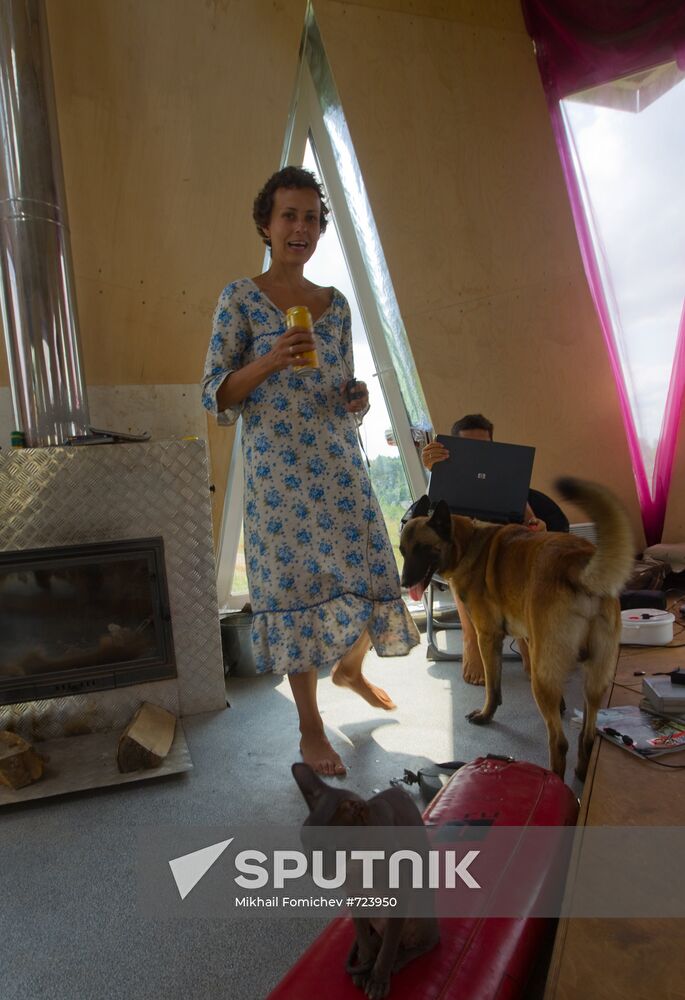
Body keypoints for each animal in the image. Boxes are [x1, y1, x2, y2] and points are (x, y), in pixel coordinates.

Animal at [292, 762, 439, 999]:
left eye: (330, 849)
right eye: (304, 842)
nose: (310, 869)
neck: (357, 867)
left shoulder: (400, 898)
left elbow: (388, 948)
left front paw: (378, 980)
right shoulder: (355, 898)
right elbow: (362, 938)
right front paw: (364, 965)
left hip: (419, 910)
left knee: (426, 941)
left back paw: (398, 961)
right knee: (379, 937)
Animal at [399, 477, 634, 781]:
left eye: (422, 548)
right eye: (403, 551)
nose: (404, 583)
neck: (467, 542)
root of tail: (579, 564)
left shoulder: (488, 637)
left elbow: (493, 686)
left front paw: (486, 714)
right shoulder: (531, 642)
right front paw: (560, 705)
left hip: (544, 682)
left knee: (559, 742)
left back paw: (553, 779)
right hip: (594, 678)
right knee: (587, 735)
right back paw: (581, 772)